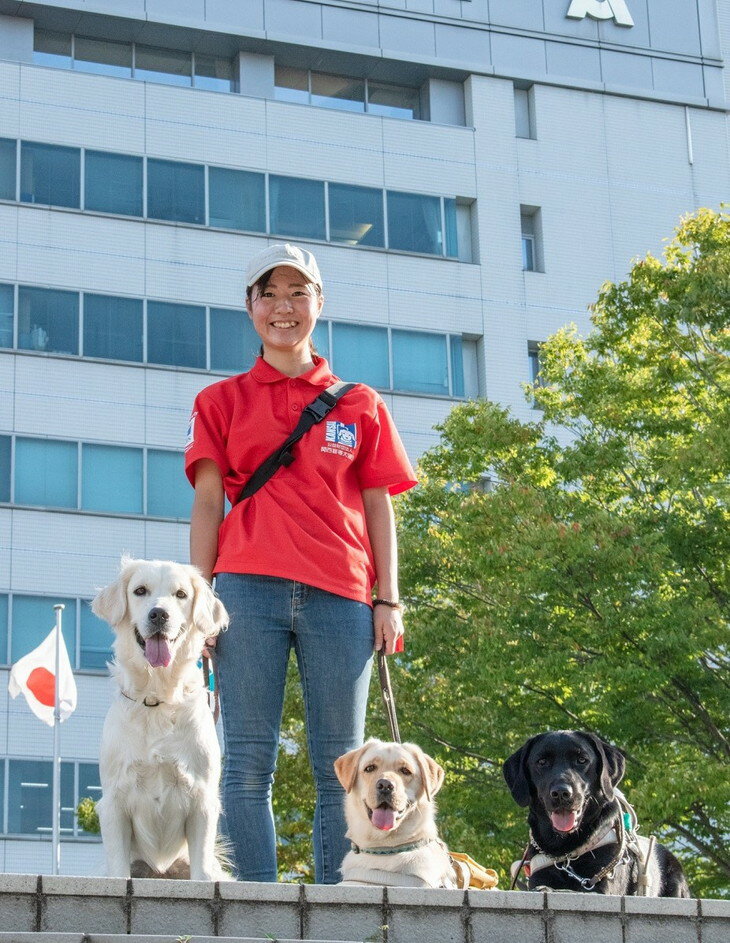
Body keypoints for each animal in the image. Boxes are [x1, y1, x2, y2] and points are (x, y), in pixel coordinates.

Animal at [92, 556, 228, 880]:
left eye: (181, 594)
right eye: (140, 590)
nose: (159, 615)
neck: (156, 699)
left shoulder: (203, 799)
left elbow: (201, 868)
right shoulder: (113, 801)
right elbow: (118, 868)